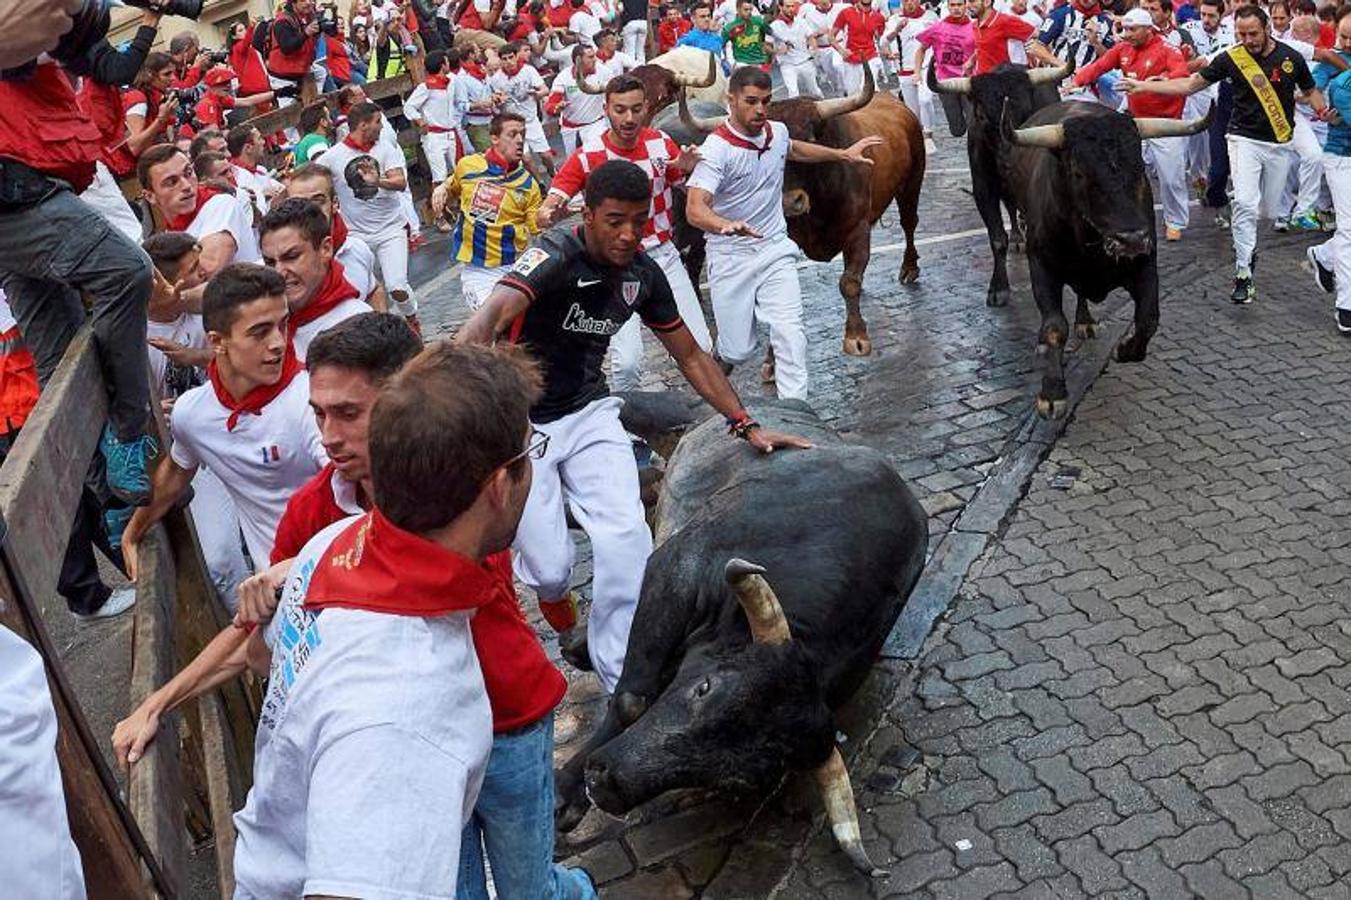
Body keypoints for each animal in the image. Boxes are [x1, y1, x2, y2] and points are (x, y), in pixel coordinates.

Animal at [551, 397, 929, 870]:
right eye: (705, 688)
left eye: (736, 778)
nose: (605, 783)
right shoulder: (675, 569)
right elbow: (632, 699)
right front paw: (563, 794)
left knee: (648, 488)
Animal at [680, 67, 924, 354]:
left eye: (808, 139)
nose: (790, 202)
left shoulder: (858, 229)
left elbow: (849, 283)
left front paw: (856, 336)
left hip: (912, 183)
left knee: (909, 223)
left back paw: (909, 267)